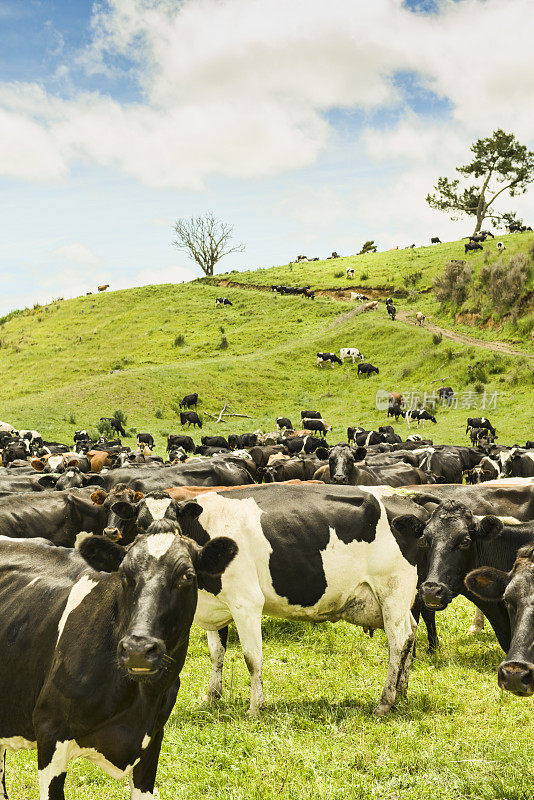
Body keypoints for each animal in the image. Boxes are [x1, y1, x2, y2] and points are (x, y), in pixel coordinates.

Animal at [0, 520, 237, 796]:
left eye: (187, 576)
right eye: (124, 575)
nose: (138, 649)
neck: (140, 701)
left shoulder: (153, 737)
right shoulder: (50, 732)